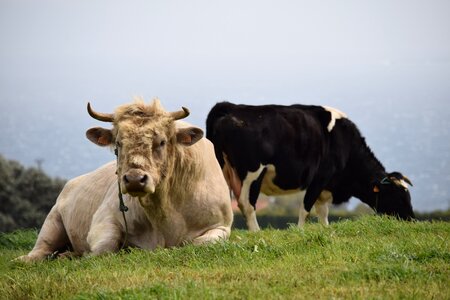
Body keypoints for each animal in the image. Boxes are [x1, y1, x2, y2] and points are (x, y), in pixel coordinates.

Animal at [17, 99, 232, 262]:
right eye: (118, 143)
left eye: (162, 142)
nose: (135, 179)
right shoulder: (105, 217)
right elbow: (105, 246)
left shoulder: (220, 226)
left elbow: (200, 243)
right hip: (52, 220)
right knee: (41, 249)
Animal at [206, 102, 414, 231]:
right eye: (398, 195)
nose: (411, 219)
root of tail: (231, 107)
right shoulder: (319, 178)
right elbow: (306, 208)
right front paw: (300, 231)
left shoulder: (327, 186)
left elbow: (322, 211)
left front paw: (325, 229)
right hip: (252, 173)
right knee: (246, 203)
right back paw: (256, 232)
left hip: (221, 170)